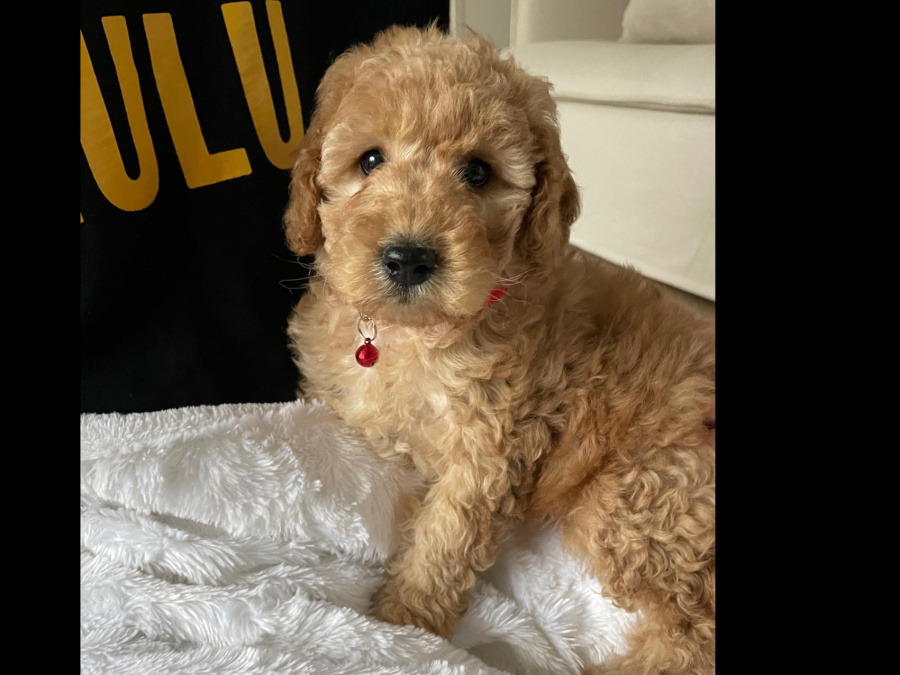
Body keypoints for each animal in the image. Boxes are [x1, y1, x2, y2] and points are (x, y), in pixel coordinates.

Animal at [284, 25, 712, 675]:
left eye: (479, 173)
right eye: (370, 160)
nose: (409, 258)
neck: (417, 334)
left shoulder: (490, 447)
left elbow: (445, 538)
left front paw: (404, 623)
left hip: (644, 500)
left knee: (693, 635)